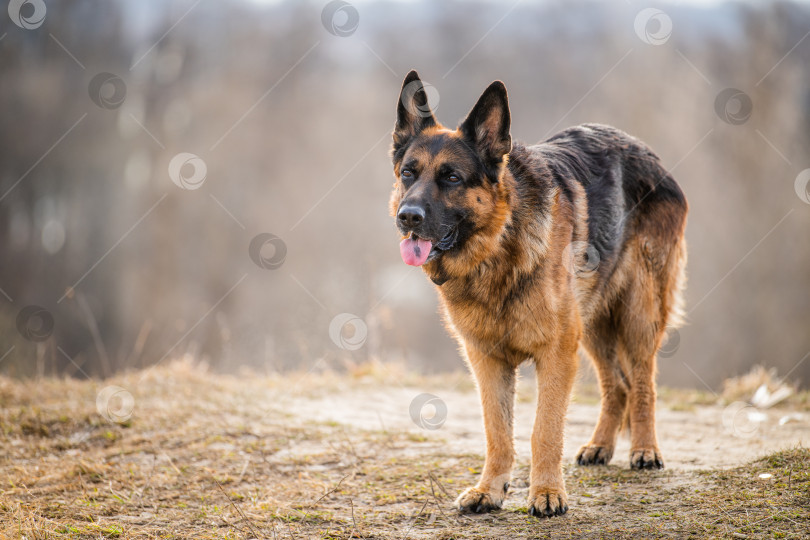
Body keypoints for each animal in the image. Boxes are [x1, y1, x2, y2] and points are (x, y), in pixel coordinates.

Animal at [388, 70, 684, 516]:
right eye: (408, 173)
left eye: (452, 177)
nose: (408, 217)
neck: (498, 247)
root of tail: (647, 152)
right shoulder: (486, 361)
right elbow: (497, 431)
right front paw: (490, 490)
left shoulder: (556, 354)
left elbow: (544, 429)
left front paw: (546, 492)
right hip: (594, 326)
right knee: (617, 385)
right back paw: (600, 445)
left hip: (637, 315)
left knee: (642, 384)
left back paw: (645, 450)